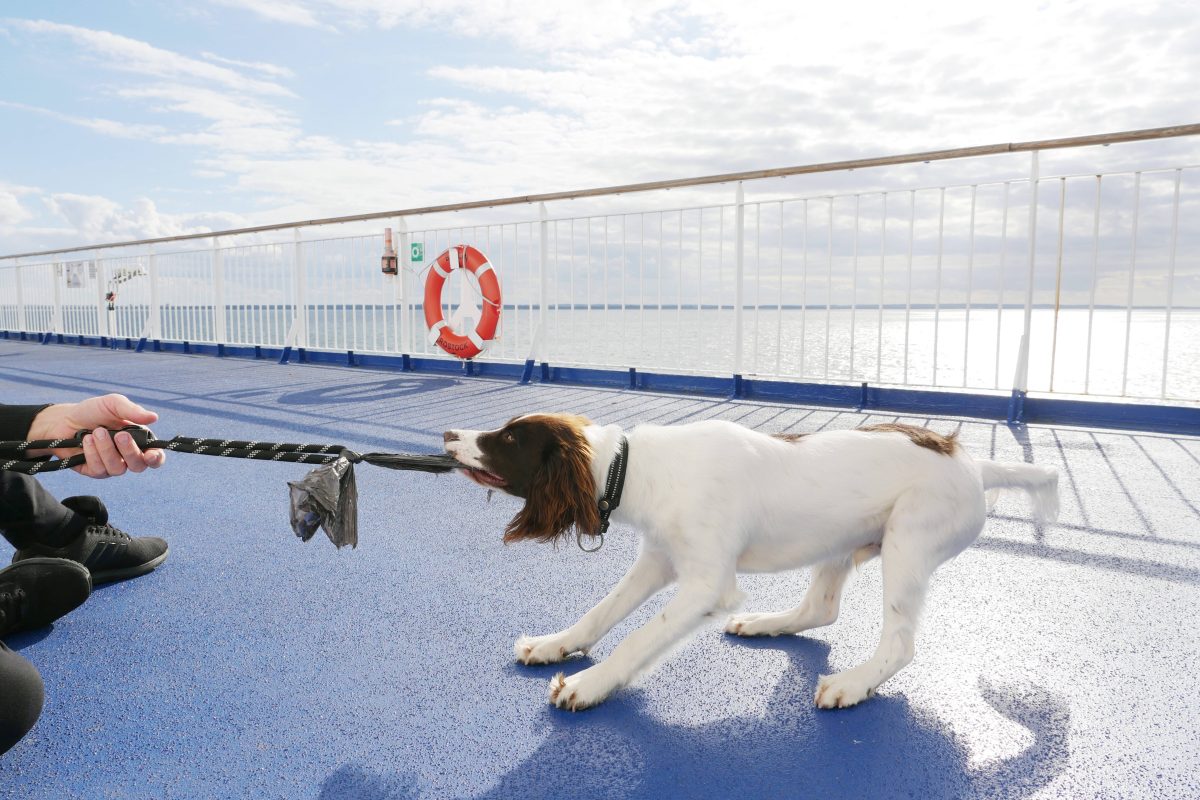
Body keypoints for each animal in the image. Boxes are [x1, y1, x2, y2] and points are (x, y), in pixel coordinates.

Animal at [444, 412, 1060, 714]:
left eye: (508, 439)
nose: (449, 435)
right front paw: (554, 645)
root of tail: (976, 465)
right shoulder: (658, 562)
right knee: (821, 608)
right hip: (839, 541)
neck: (637, 468)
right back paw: (767, 624)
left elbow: (636, 639)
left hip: (909, 540)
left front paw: (588, 685)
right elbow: (600, 613)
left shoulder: (706, 585)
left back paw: (852, 684)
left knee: (899, 644)